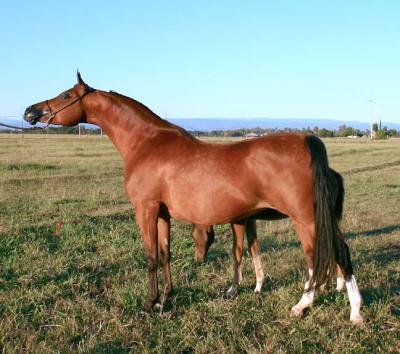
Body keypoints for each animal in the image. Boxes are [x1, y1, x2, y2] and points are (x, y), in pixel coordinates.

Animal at [23, 73, 364, 322]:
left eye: (66, 95)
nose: (30, 111)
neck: (147, 142)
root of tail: (309, 142)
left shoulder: (145, 209)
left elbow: (150, 256)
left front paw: (148, 304)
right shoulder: (162, 213)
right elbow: (165, 254)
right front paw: (165, 299)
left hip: (306, 219)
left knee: (325, 256)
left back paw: (326, 309)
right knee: (333, 255)